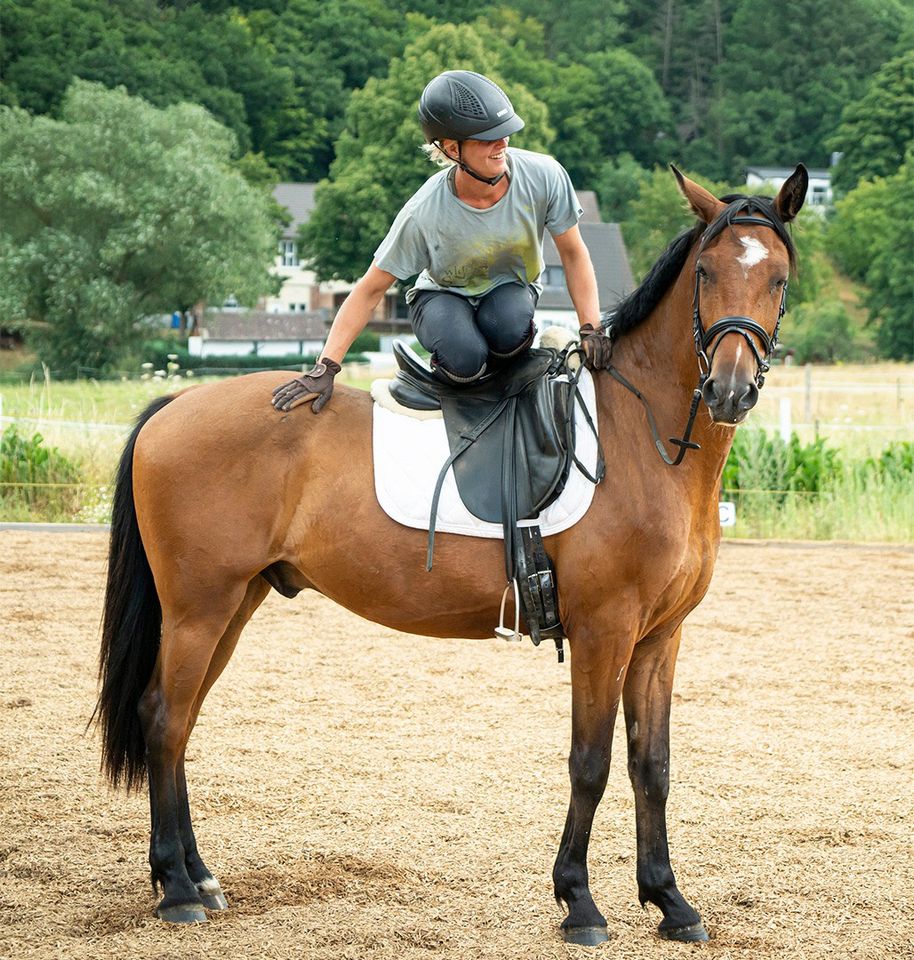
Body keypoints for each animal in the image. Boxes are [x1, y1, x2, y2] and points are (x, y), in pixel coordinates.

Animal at [92, 165, 804, 944]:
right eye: (706, 272)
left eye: (779, 278)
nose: (729, 390)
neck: (639, 438)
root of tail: (176, 404)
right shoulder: (604, 631)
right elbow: (590, 763)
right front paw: (579, 903)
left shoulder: (659, 639)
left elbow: (654, 766)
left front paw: (670, 901)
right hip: (199, 607)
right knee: (164, 718)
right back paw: (175, 889)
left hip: (233, 604)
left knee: (181, 722)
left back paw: (197, 877)